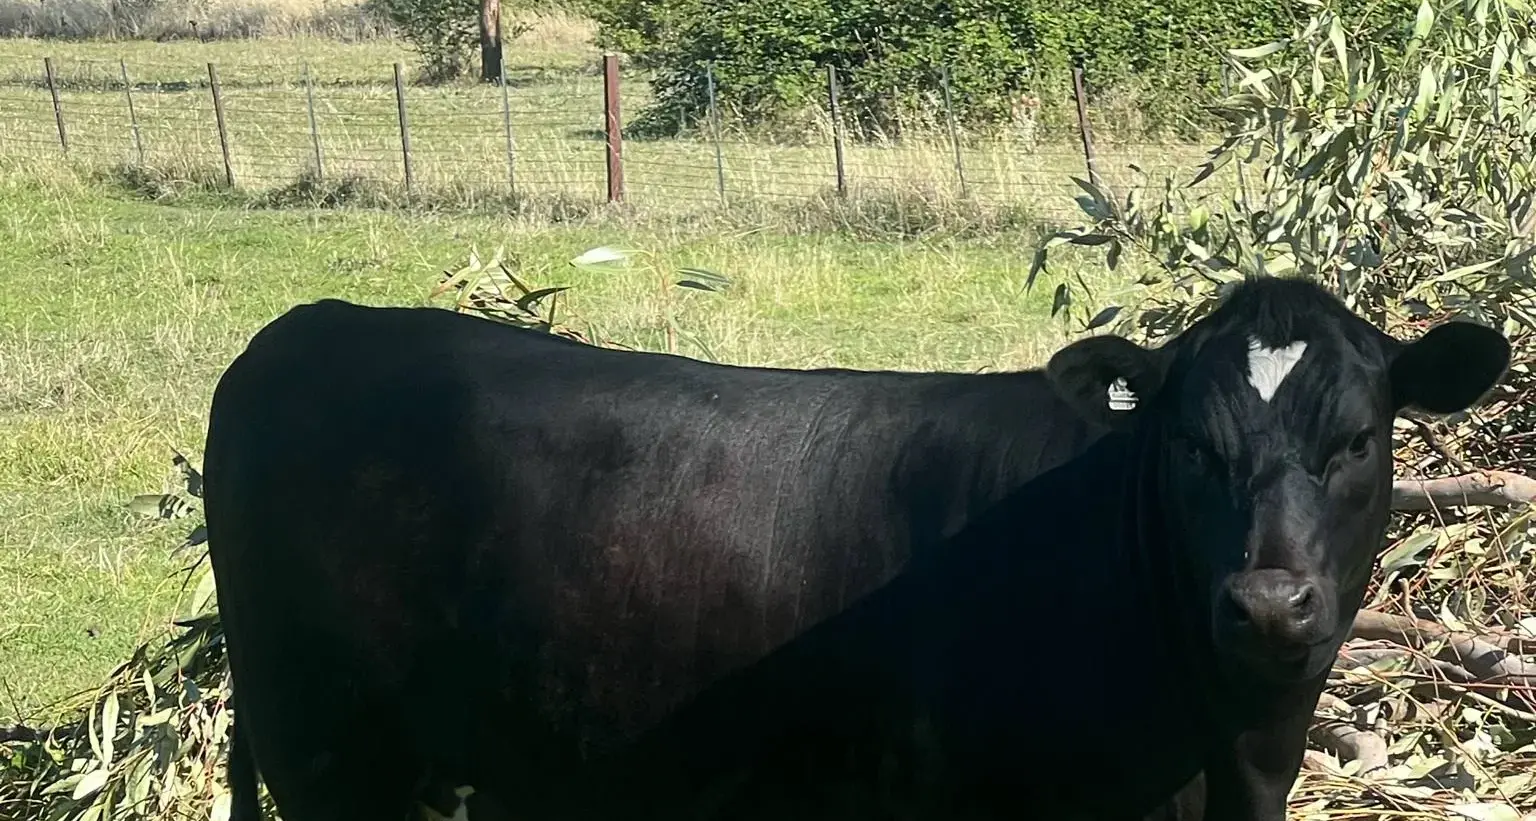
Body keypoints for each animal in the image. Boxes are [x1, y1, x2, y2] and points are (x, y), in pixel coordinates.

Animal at [203, 275, 1509, 821]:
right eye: (1188, 443)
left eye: (1357, 438)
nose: (1270, 603)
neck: (1233, 746)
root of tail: (306, 328)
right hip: (327, 755)